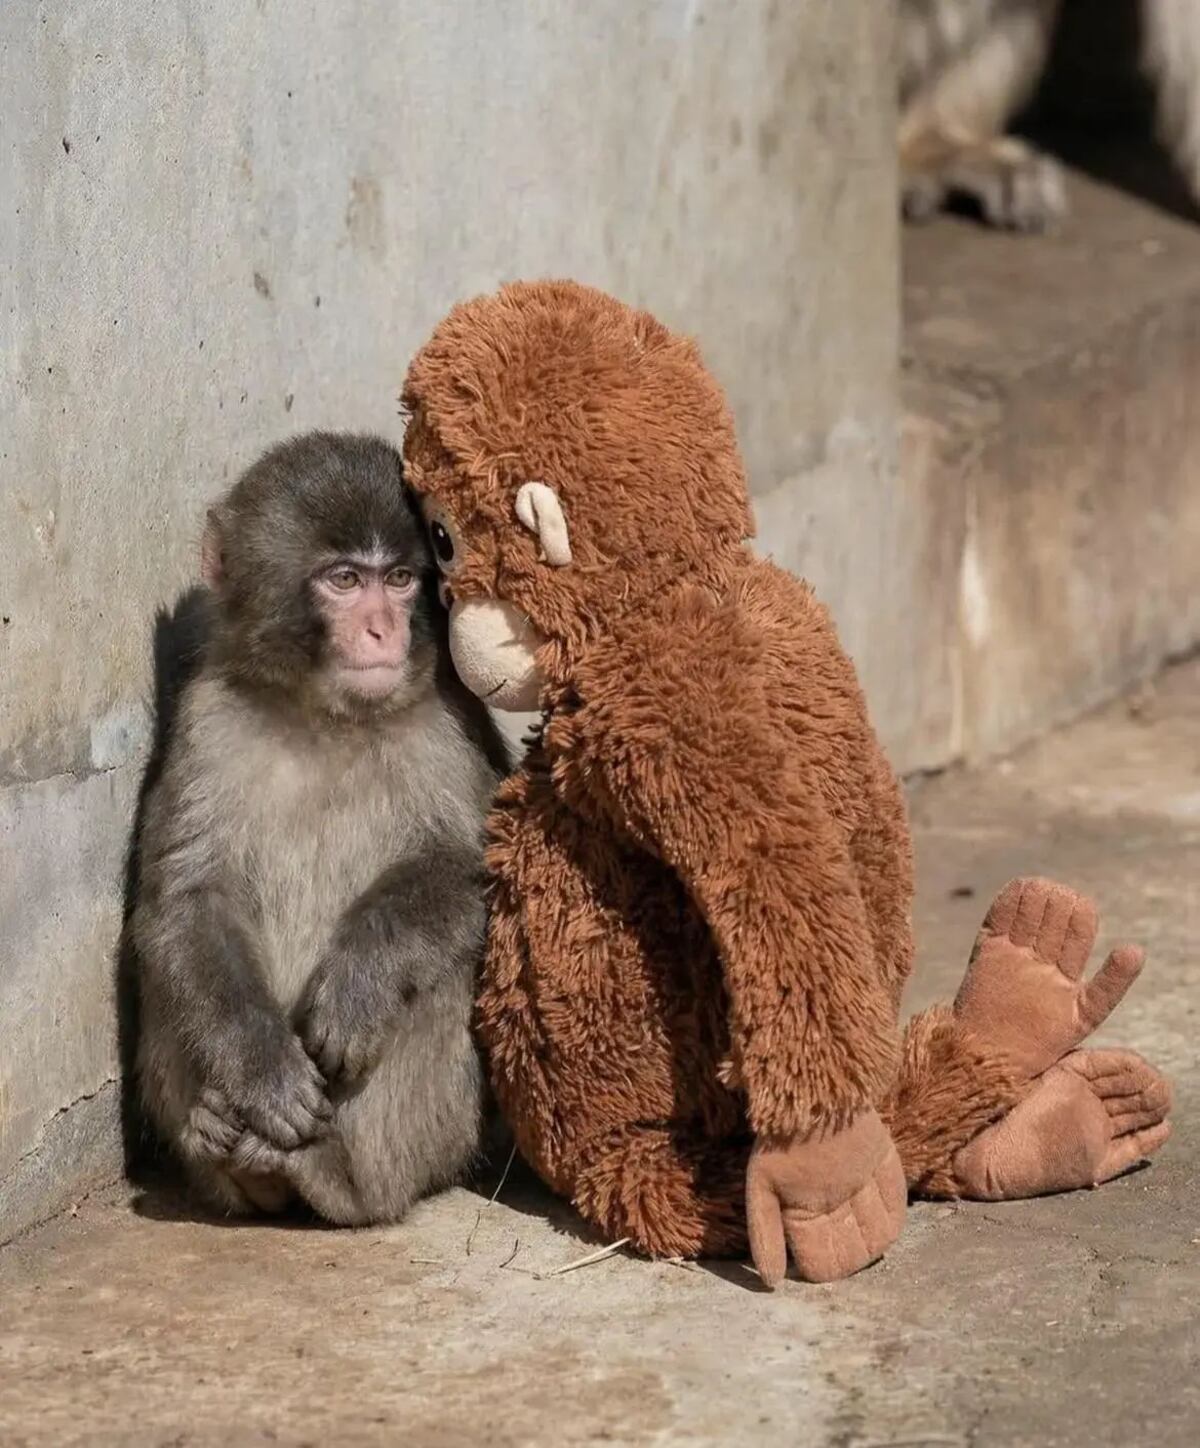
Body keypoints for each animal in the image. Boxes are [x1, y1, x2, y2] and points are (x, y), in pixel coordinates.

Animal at [130, 431, 510, 1225]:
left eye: (399, 578)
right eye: (343, 579)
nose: (382, 629)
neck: (327, 717)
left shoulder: (449, 721)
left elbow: (482, 870)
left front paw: (360, 982)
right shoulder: (208, 721)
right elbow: (187, 901)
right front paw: (261, 1070)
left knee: (441, 977)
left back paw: (331, 1175)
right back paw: (220, 1142)